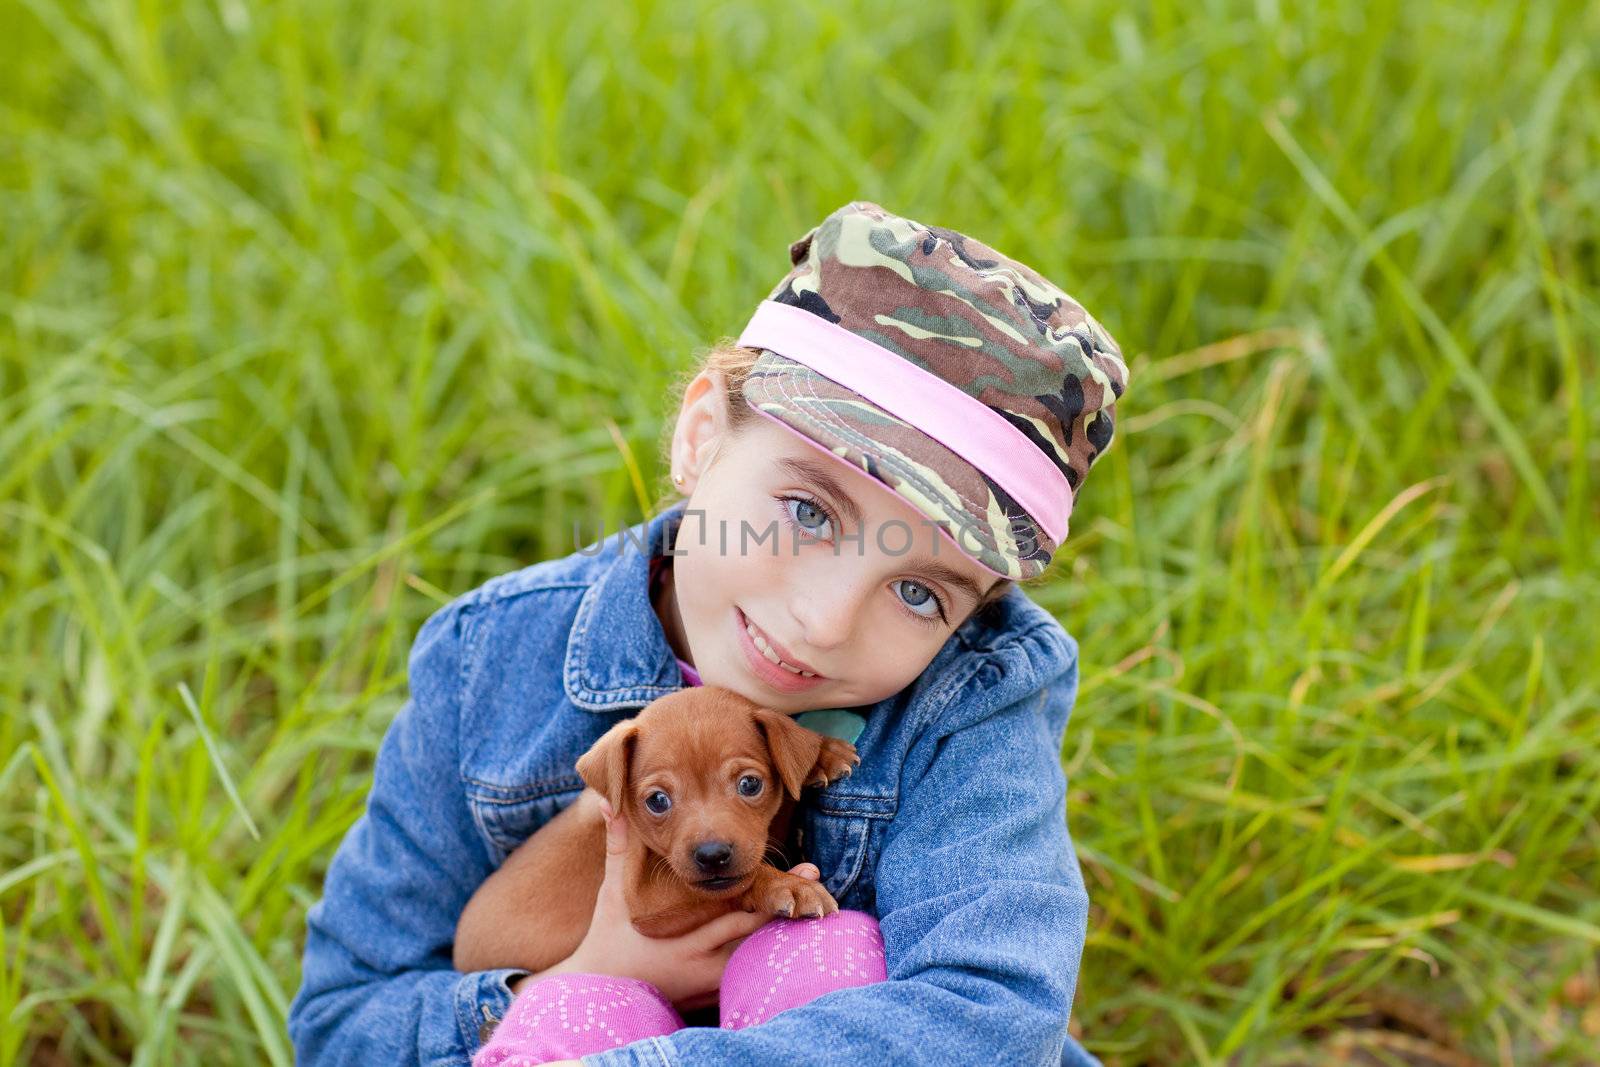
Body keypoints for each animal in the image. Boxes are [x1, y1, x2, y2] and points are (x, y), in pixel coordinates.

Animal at [451, 684, 864, 979]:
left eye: (750, 784)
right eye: (657, 801)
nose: (712, 856)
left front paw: (822, 753)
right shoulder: (649, 900)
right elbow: (732, 885)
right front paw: (787, 885)